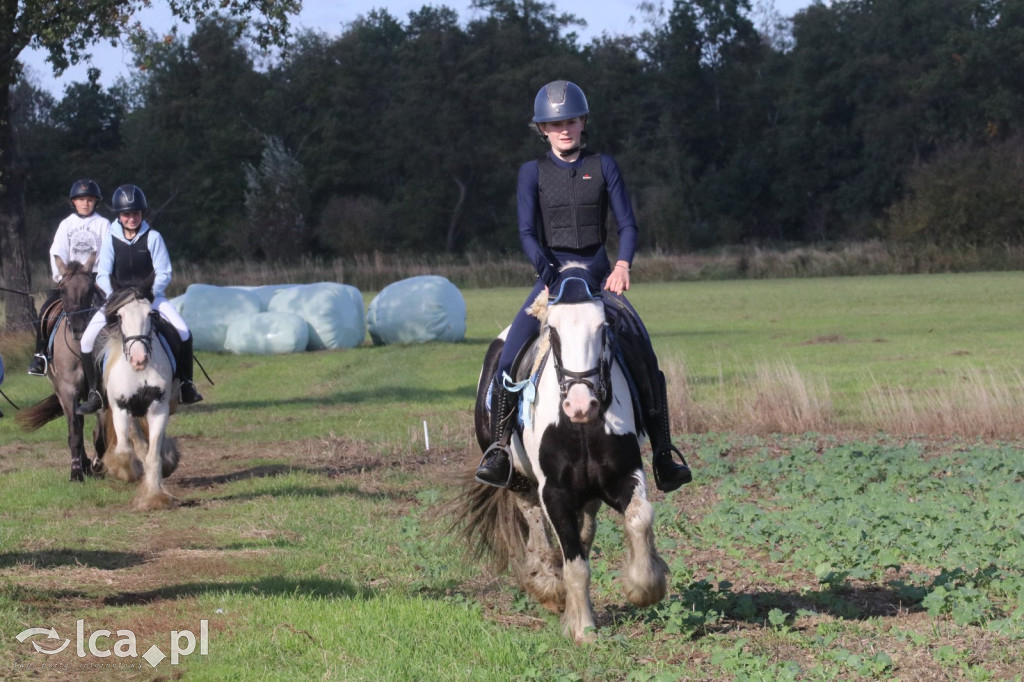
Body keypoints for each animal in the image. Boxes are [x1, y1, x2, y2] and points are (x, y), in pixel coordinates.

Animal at [454, 266, 663, 643]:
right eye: (552, 331)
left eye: (604, 327)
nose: (581, 404)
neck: (579, 427)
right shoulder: (554, 491)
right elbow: (574, 562)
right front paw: (583, 629)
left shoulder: (625, 475)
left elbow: (639, 518)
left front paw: (644, 587)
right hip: (518, 480)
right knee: (535, 523)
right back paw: (548, 586)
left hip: (588, 493)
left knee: (586, 529)